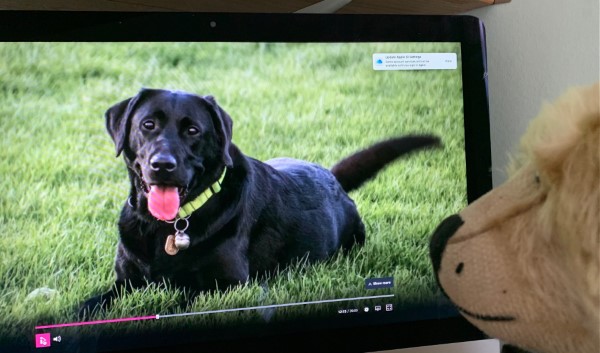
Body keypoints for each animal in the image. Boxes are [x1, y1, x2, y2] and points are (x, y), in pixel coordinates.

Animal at [79, 88, 438, 314]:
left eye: (193, 130)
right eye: (148, 125)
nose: (163, 165)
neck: (166, 225)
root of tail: (331, 175)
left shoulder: (226, 286)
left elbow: (175, 304)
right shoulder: (125, 282)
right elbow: (87, 305)